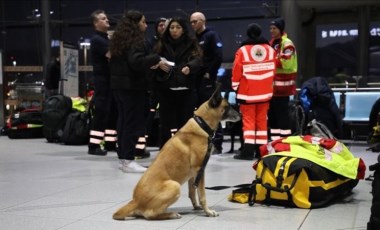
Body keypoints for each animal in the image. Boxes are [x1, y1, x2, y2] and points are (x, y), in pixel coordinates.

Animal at [113, 83, 240, 220]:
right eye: (228, 107)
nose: (241, 115)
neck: (202, 124)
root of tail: (135, 201)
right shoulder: (199, 170)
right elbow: (202, 195)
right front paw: (208, 211)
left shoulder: (193, 174)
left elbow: (192, 192)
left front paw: (196, 207)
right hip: (174, 185)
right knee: (149, 214)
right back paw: (171, 214)